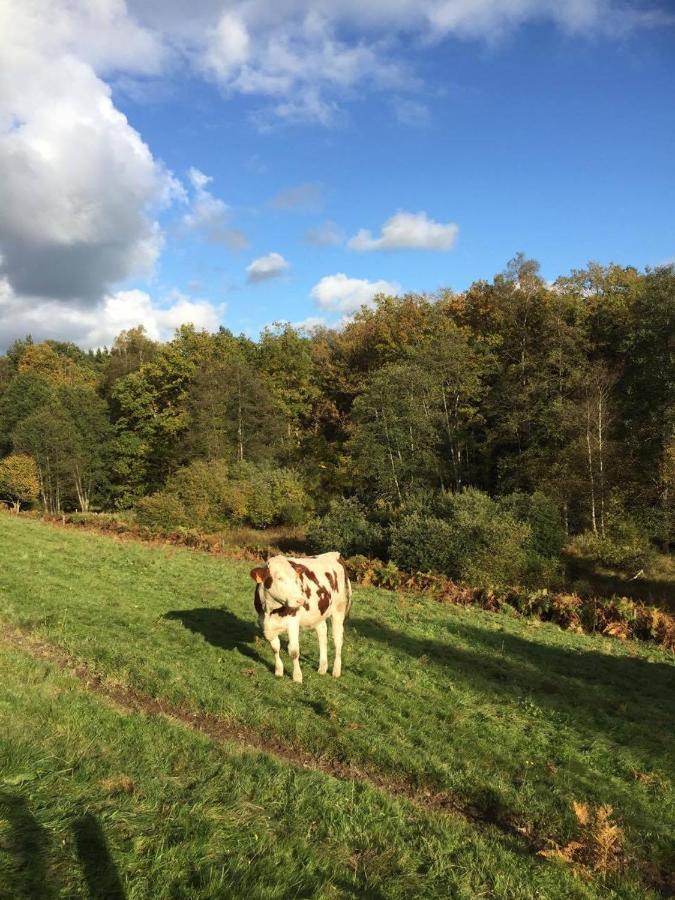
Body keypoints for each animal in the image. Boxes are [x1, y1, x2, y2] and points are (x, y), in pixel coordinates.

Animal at [250, 548, 354, 684]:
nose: (301, 600)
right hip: (319, 612)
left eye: (296, 578)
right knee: (322, 636)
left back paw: (336, 671)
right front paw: (279, 671)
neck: (271, 610)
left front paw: (297, 677)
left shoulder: (293, 622)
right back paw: (322, 668)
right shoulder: (264, 623)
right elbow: (275, 648)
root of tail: (334, 554)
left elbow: (294, 651)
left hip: (339, 610)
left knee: (337, 640)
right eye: (279, 578)